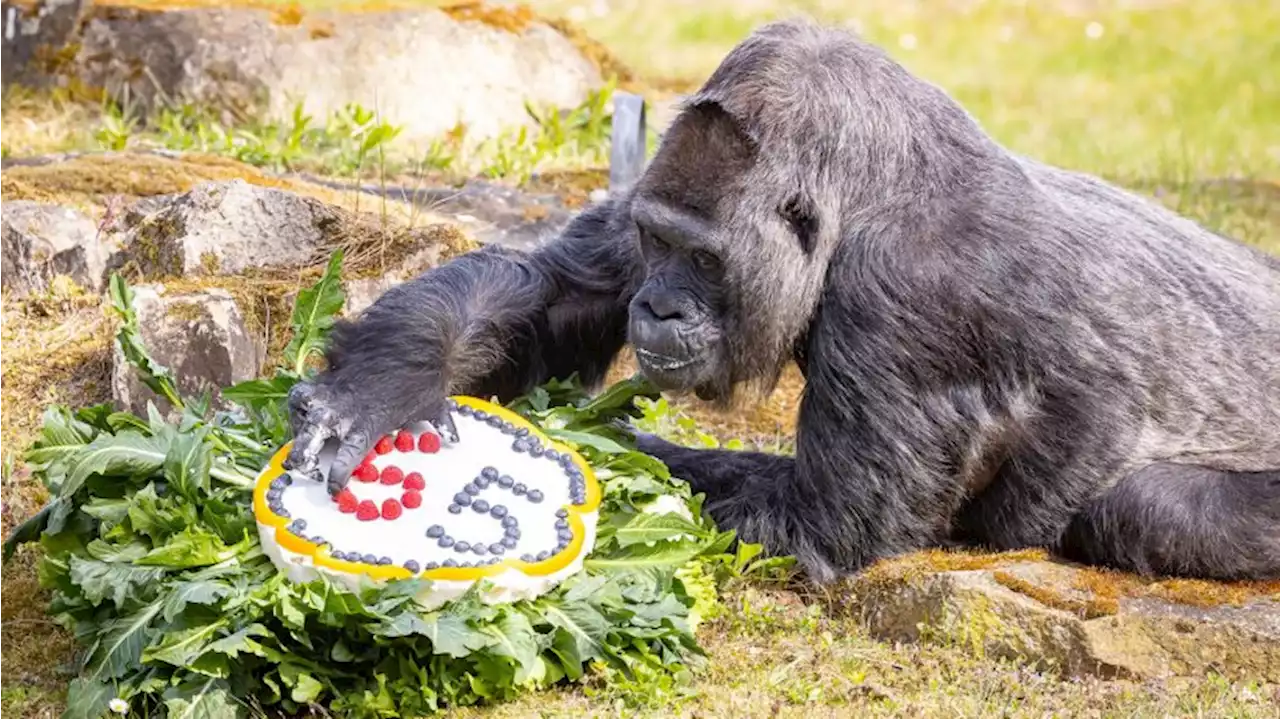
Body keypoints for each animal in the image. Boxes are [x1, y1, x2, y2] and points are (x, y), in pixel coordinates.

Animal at [285, 20, 1280, 583]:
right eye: (660, 243)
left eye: (704, 258)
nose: (660, 309)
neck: (875, 183)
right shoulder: (659, 179)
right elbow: (552, 295)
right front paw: (385, 384)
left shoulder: (909, 296)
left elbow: (819, 529)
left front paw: (606, 451)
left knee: (1141, 508)